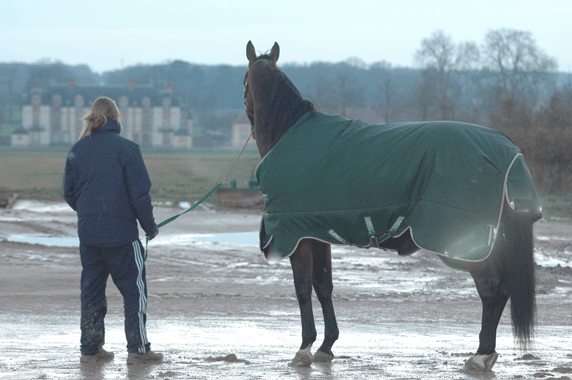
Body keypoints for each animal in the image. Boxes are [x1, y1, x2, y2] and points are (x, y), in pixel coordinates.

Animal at [244, 40, 544, 372]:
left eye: (244, 83)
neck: (291, 135)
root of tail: (509, 150)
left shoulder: (296, 236)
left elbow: (302, 289)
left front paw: (304, 348)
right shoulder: (317, 232)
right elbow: (323, 286)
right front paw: (326, 346)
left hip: (465, 243)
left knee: (492, 287)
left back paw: (480, 355)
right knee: (502, 289)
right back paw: (485, 351)